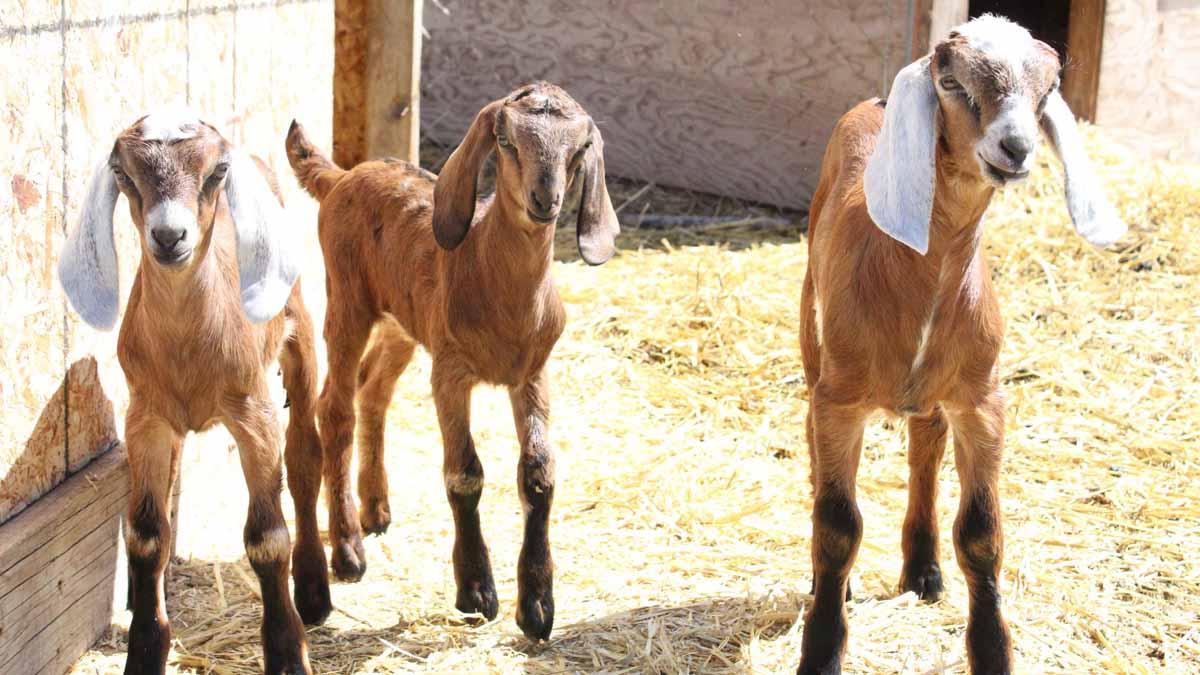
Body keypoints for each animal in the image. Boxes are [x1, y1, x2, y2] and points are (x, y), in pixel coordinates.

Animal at [58, 111, 331, 672]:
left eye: (216, 171)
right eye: (123, 171)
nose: (169, 235)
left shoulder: (253, 414)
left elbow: (268, 539)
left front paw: (287, 652)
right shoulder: (145, 418)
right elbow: (145, 537)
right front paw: (144, 649)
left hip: (298, 337)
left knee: (305, 455)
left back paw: (315, 591)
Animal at [288, 81, 619, 638]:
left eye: (578, 150)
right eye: (505, 141)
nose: (545, 200)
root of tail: (342, 176)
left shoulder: (532, 372)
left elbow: (539, 474)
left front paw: (537, 606)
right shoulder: (451, 372)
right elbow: (465, 473)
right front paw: (477, 592)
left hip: (403, 323)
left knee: (373, 391)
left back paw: (376, 509)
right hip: (348, 300)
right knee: (334, 408)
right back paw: (349, 550)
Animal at [796, 15, 1123, 672]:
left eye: (1048, 89)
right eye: (951, 82)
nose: (1016, 147)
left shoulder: (981, 400)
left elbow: (981, 533)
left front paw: (993, 651)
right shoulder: (839, 400)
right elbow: (837, 526)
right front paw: (820, 649)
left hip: (935, 392)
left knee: (925, 449)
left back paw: (923, 570)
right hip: (812, 340)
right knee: (818, 451)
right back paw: (834, 584)